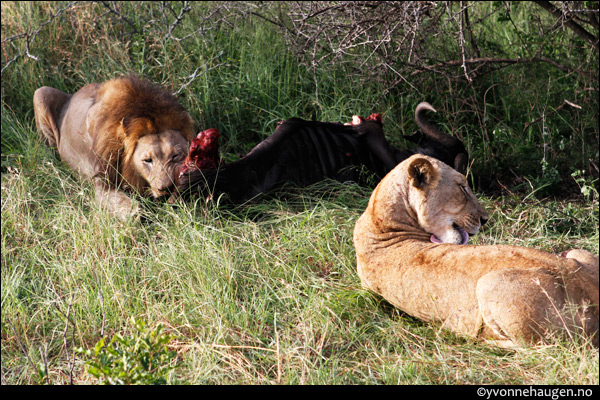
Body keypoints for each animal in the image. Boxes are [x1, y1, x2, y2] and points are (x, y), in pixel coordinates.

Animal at [32, 75, 193, 219]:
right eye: (147, 160)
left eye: (175, 156)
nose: (166, 188)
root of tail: (73, 94)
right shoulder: (101, 184)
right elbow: (136, 212)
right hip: (41, 93)